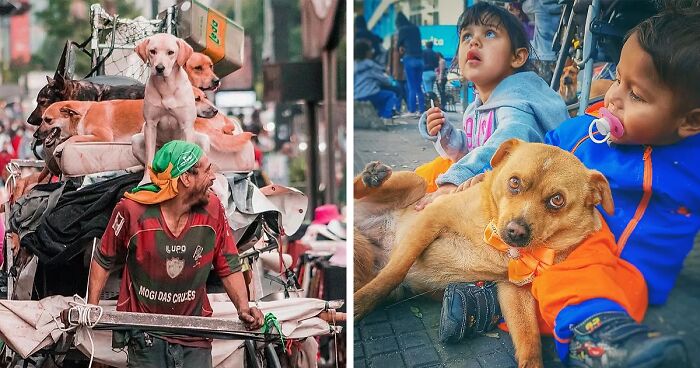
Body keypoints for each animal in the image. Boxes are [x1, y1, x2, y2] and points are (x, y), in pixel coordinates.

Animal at [133, 33, 211, 184]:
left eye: (170, 52)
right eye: (152, 51)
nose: (159, 68)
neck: (166, 86)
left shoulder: (187, 126)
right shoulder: (150, 125)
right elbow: (148, 160)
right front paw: (146, 180)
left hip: (204, 141)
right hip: (135, 140)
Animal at [356, 139, 612, 366]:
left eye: (557, 200)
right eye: (514, 182)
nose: (516, 231)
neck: (495, 239)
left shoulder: (514, 291)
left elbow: (529, 338)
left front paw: (531, 362)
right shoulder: (431, 217)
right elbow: (394, 273)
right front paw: (361, 302)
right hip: (415, 182)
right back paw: (372, 176)